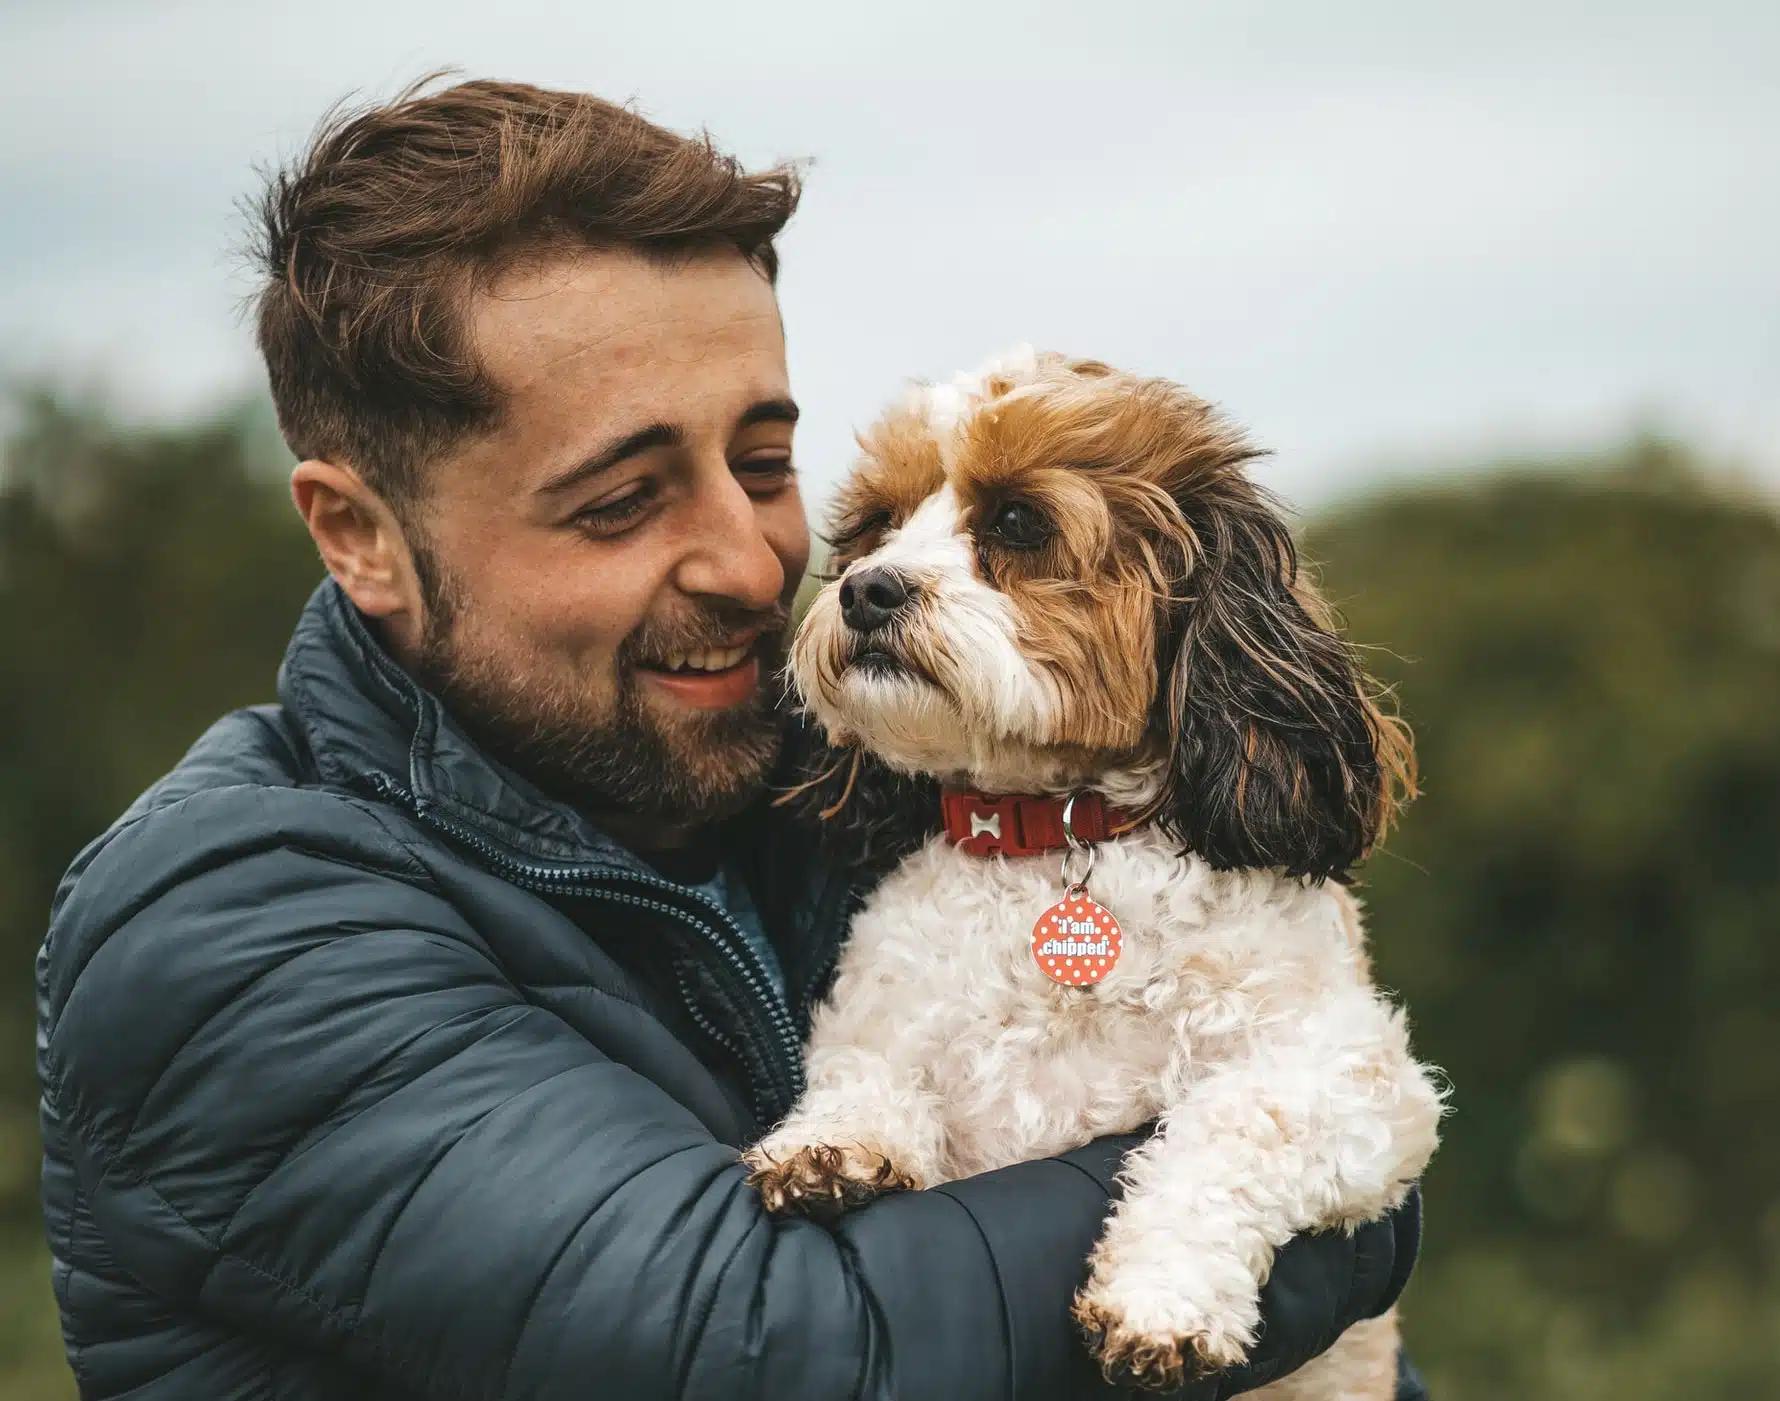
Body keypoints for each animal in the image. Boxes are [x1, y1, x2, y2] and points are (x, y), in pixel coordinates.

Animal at [744, 347, 1438, 1388]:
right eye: (876, 526)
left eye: (1016, 523)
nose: (867, 587)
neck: (1056, 834)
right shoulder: (884, 1023)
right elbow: (863, 1073)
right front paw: (832, 1143)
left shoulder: (1356, 1076)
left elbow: (1231, 1126)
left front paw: (1162, 1300)